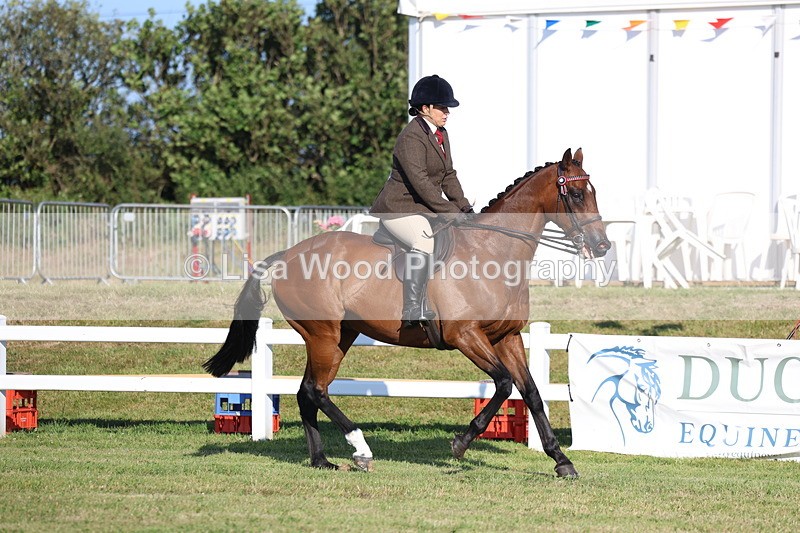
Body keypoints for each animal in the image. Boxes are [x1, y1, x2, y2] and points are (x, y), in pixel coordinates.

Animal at [204, 147, 610, 478]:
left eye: (593, 192)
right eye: (576, 194)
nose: (602, 246)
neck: (492, 251)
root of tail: (287, 255)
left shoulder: (506, 337)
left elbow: (532, 393)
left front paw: (562, 461)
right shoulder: (466, 336)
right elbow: (503, 383)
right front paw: (461, 443)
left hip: (338, 337)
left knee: (308, 392)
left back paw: (322, 460)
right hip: (323, 335)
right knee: (316, 392)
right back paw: (361, 449)